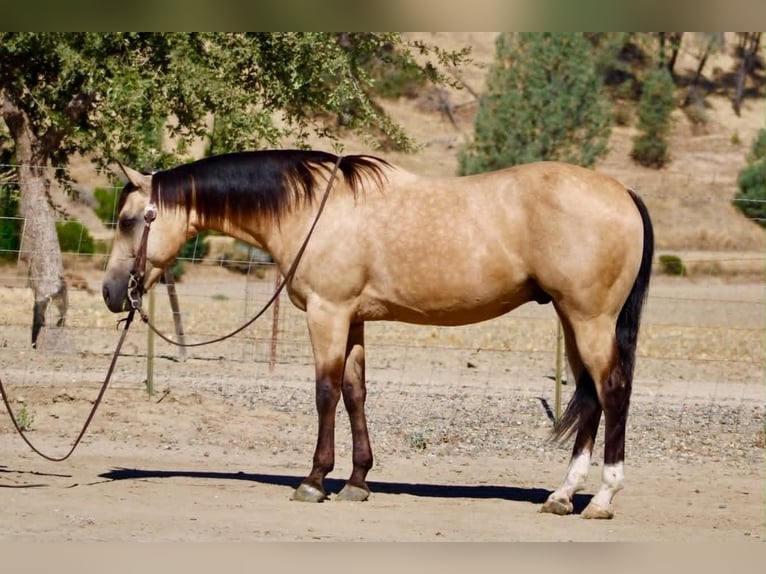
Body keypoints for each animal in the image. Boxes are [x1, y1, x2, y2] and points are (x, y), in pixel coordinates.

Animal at [102, 149, 653, 519]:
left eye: (129, 220)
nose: (111, 292)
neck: (311, 210)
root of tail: (622, 193)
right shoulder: (354, 319)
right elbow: (355, 393)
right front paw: (358, 480)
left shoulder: (326, 313)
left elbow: (325, 393)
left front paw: (314, 480)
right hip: (572, 318)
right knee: (590, 395)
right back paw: (563, 494)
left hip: (589, 319)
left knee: (612, 391)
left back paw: (602, 497)